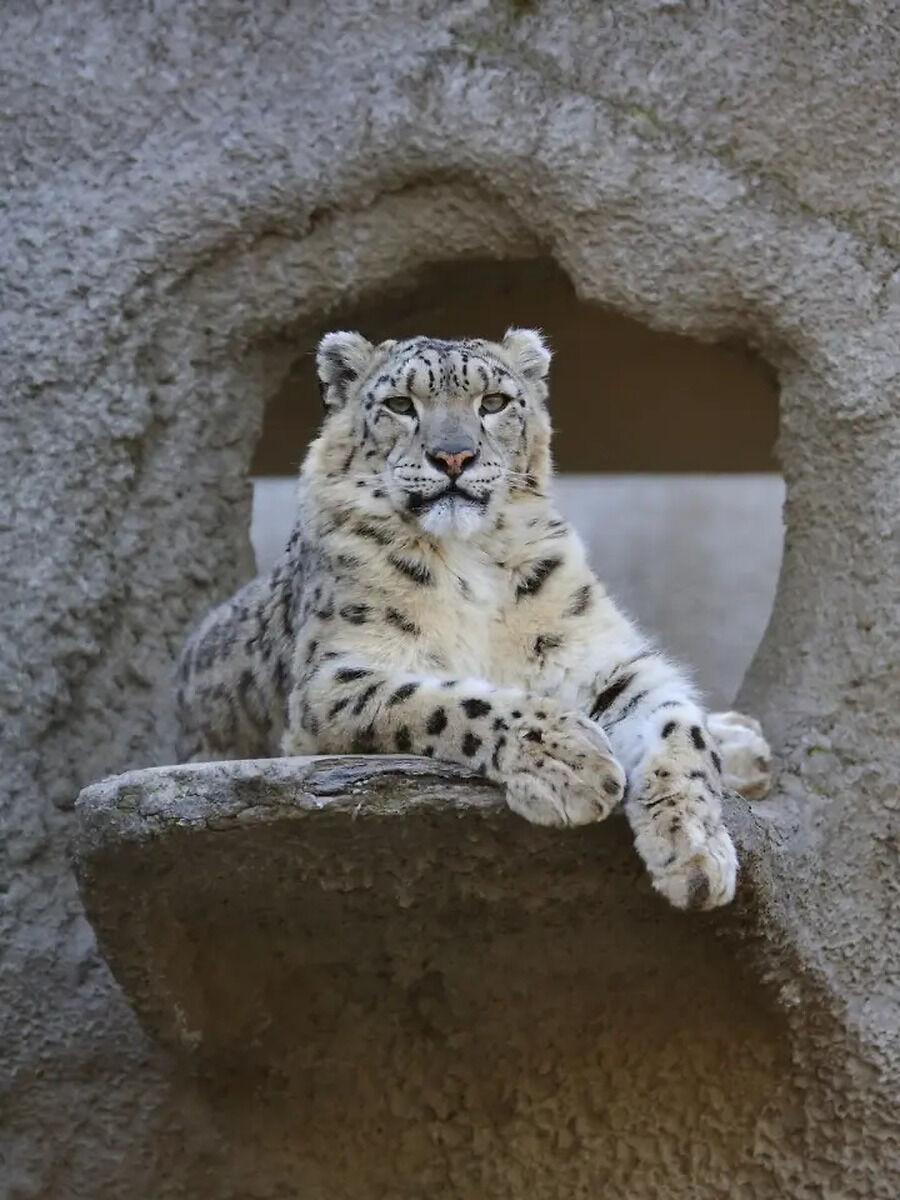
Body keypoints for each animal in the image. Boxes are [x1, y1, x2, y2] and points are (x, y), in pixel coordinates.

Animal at [176, 328, 772, 911]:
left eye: (494, 402)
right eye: (400, 404)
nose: (454, 457)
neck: (470, 563)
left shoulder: (603, 656)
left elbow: (677, 725)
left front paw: (695, 851)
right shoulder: (333, 680)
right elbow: (446, 702)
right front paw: (573, 763)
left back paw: (744, 744)